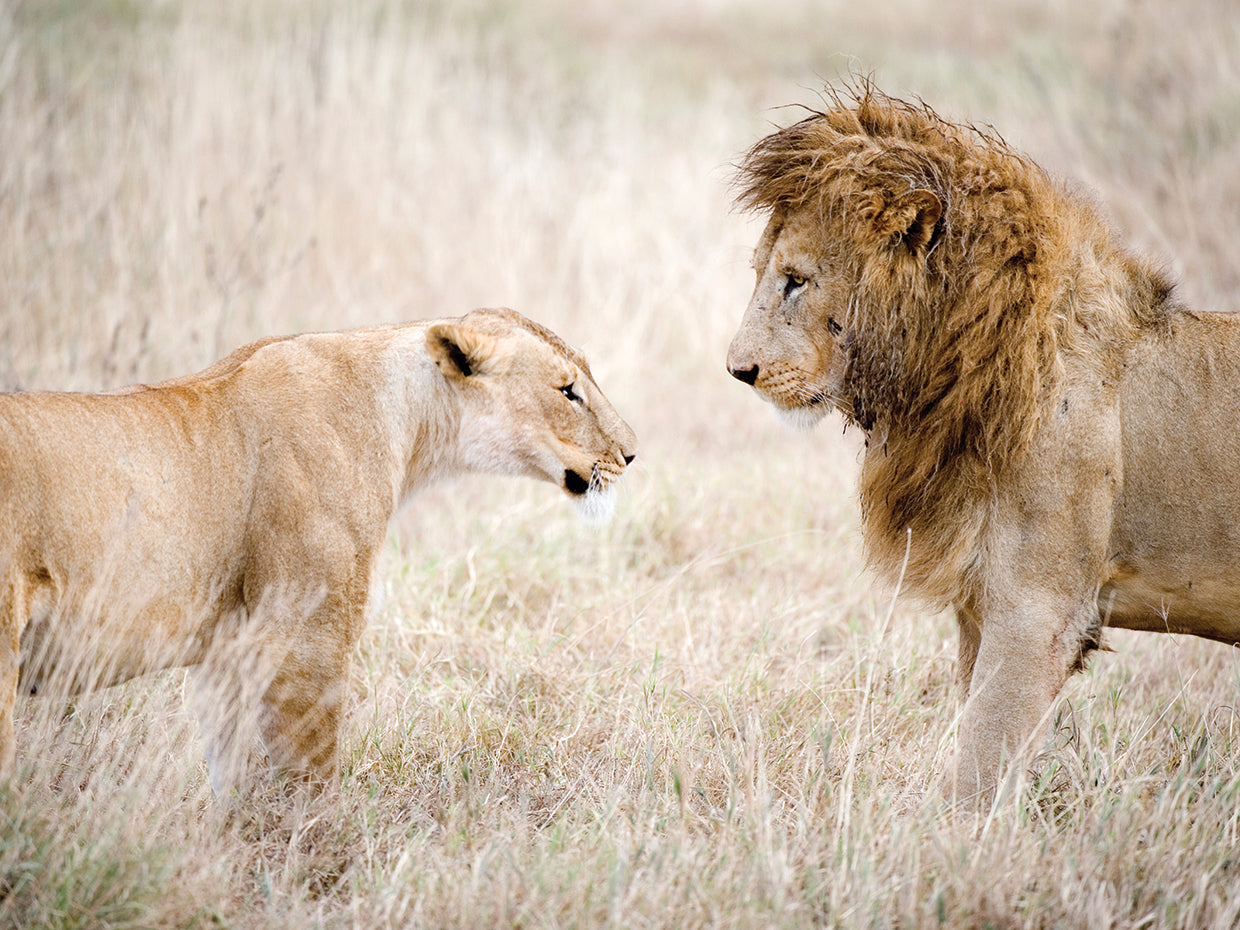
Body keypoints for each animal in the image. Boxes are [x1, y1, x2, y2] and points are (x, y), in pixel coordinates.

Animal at [0, 307, 636, 793]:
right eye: (568, 391)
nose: (631, 454)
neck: (408, 423)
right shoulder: (307, 643)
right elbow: (312, 787)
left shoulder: (226, 655)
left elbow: (230, 780)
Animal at [727, 84, 1240, 803]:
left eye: (795, 280)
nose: (736, 370)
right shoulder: (980, 604)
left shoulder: (1038, 610)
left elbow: (981, 761)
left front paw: (946, 835)